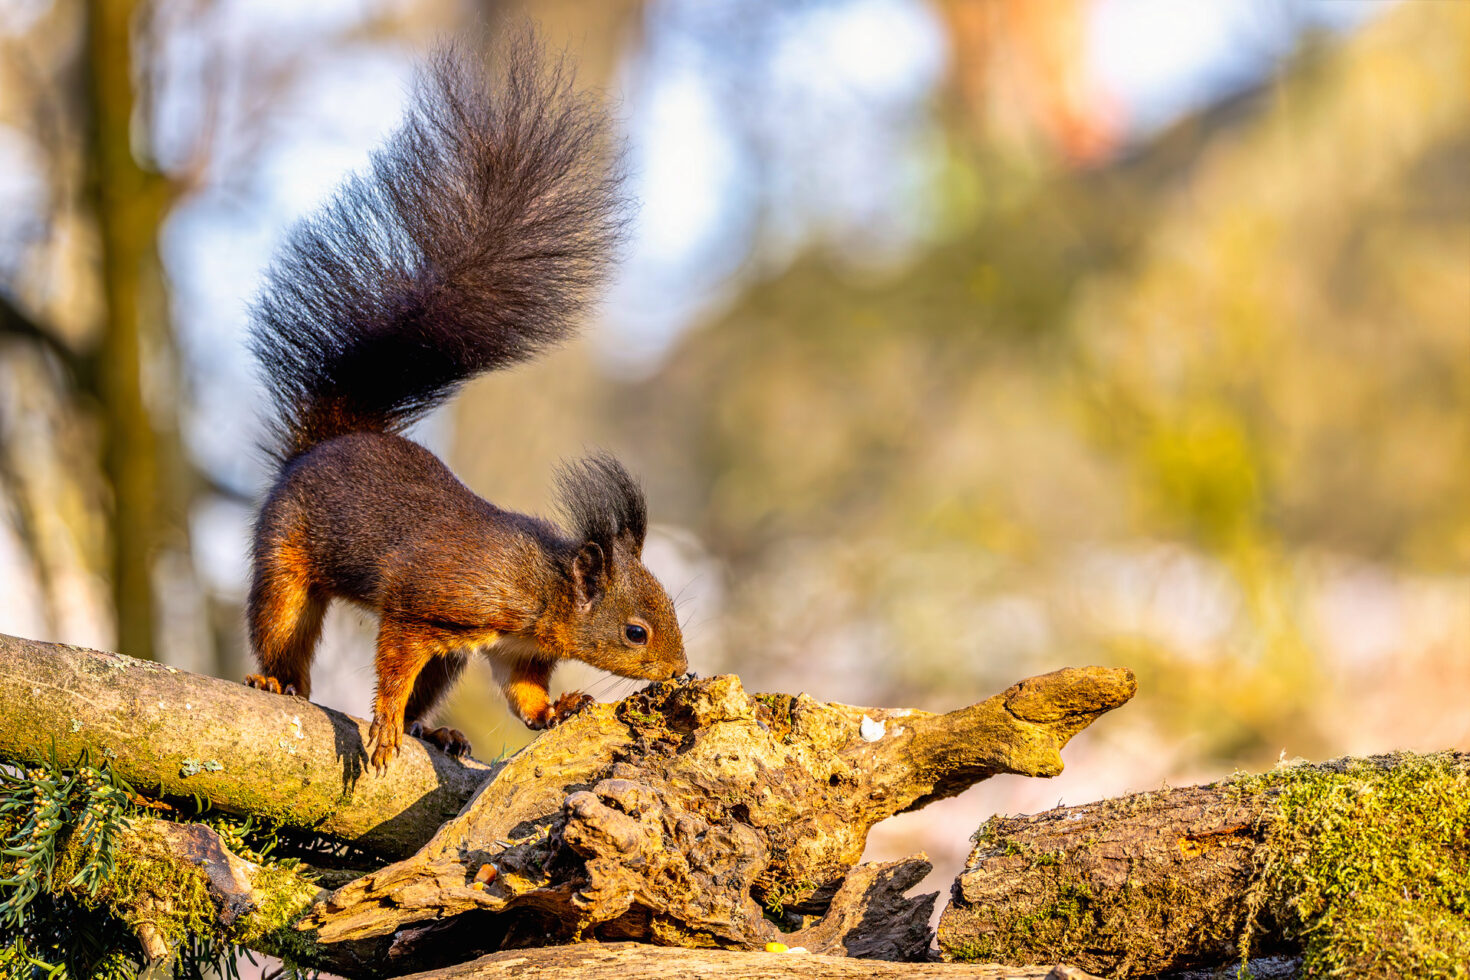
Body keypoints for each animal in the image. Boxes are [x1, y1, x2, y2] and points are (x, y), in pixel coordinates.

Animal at [242, 35, 687, 772]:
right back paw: (280, 680)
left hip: (448, 659)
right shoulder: (425, 604)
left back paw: (435, 731)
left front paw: (557, 709)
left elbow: (524, 691)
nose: (681, 672)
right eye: (634, 631)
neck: (540, 588)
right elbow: (395, 662)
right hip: (288, 555)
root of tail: (330, 438)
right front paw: (384, 722)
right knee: (281, 625)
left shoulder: (514, 647)